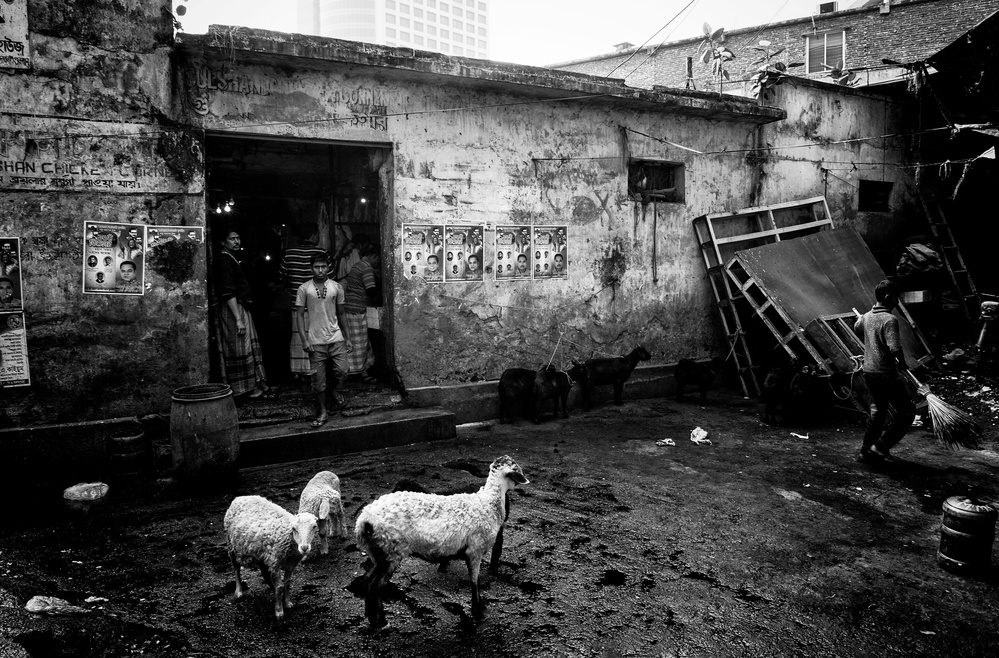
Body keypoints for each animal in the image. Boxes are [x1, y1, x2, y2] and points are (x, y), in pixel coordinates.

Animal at [358, 452, 532, 624]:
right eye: (516, 467)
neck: (489, 502)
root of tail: (364, 520)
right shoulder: (474, 551)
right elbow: (474, 581)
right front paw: (477, 610)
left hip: (379, 553)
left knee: (368, 580)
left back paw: (371, 615)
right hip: (390, 551)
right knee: (376, 585)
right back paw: (380, 621)